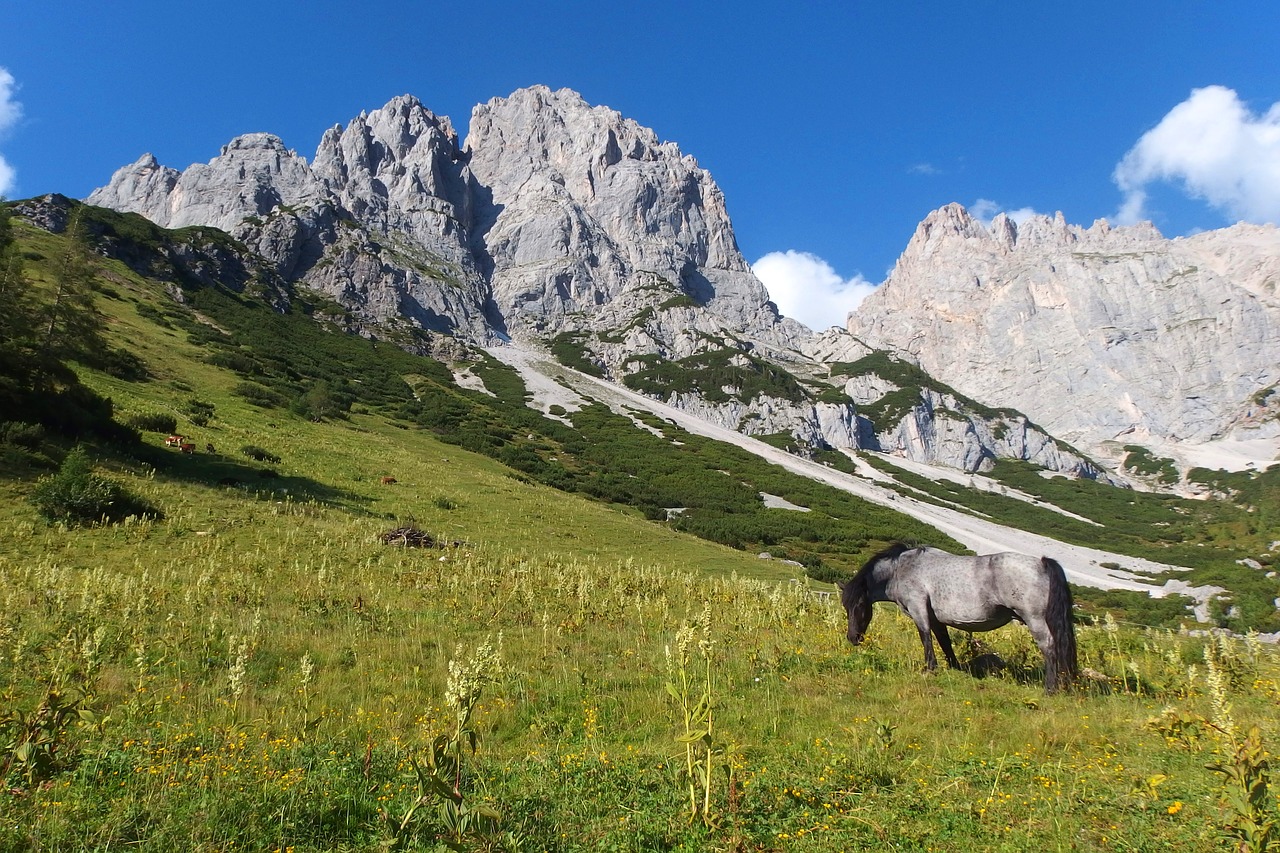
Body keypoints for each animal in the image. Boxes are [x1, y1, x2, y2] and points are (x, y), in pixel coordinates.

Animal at [834, 545, 1075, 691]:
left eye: (860, 605)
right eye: (846, 606)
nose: (853, 638)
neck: (901, 569)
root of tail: (1042, 563)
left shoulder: (918, 609)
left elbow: (925, 638)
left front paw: (930, 668)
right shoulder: (936, 618)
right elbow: (944, 642)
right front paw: (955, 667)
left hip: (1035, 620)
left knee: (1049, 647)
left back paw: (1050, 688)